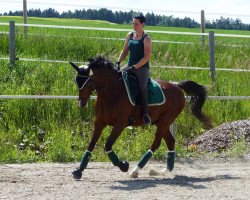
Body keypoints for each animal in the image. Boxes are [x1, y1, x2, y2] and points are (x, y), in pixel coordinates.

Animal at [69, 55, 212, 179]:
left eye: (87, 82)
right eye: (77, 81)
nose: (82, 103)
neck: (111, 92)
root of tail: (177, 86)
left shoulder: (120, 124)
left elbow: (108, 146)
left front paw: (123, 165)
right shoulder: (99, 122)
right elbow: (91, 145)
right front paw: (79, 170)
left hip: (165, 121)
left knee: (156, 144)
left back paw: (135, 170)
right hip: (161, 122)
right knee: (170, 141)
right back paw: (164, 171)